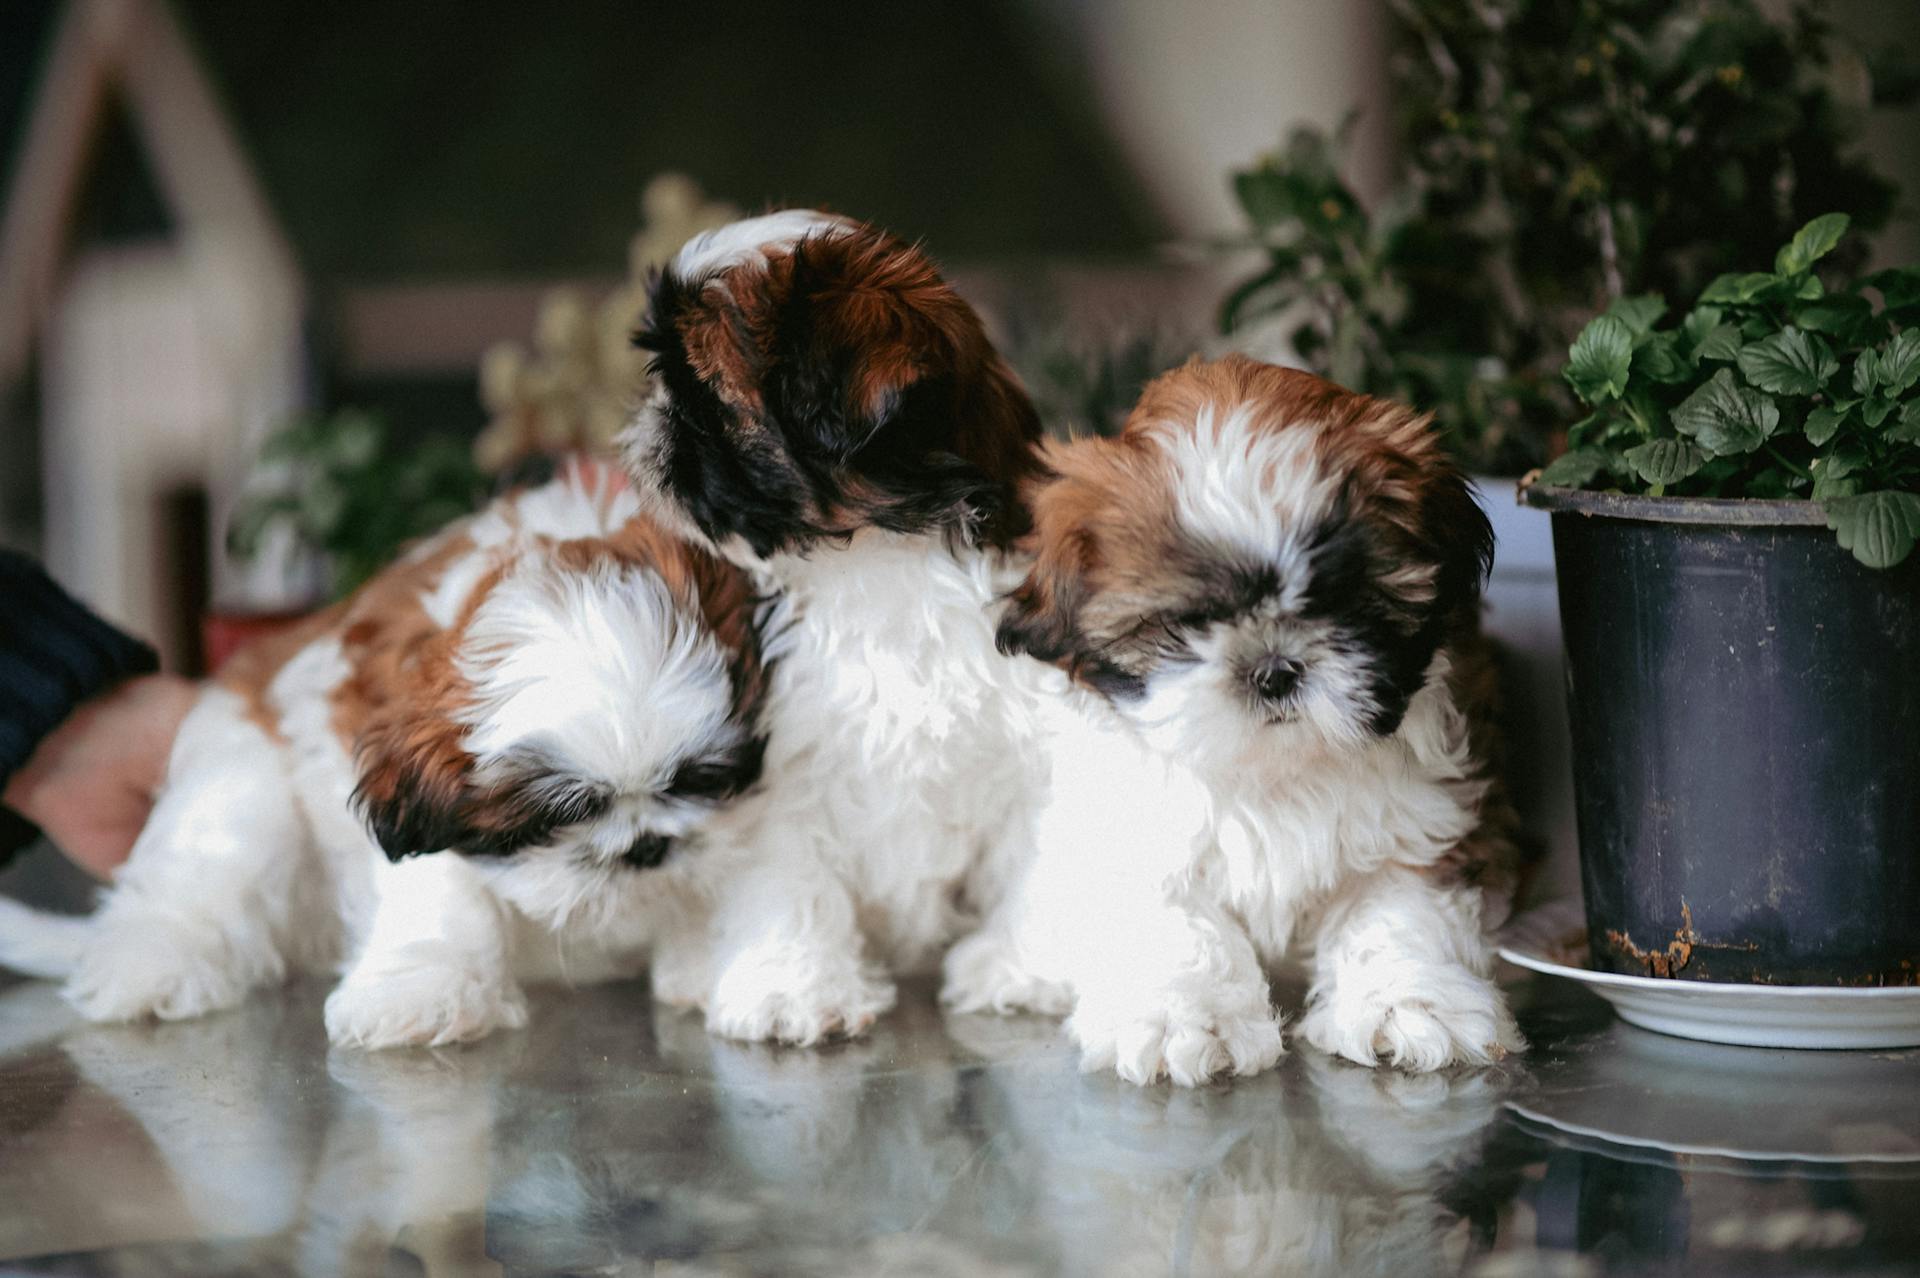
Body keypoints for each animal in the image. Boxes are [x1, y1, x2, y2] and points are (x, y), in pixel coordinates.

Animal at [0, 468, 764, 1043]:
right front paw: (424, 990)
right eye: (557, 819)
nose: (646, 847)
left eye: (702, 780)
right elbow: (439, 878)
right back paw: (153, 963)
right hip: (246, 779)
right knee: (208, 865)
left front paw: (711, 956)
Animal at [618, 211, 1059, 1043]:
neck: (875, 568)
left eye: (705, 401)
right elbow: (790, 874)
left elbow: (1032, 852)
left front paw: (1019, 968)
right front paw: (793, 989)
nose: (651, 422)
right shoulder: (784, 762)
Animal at [944, 355, 1528, 1074]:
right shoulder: (1134, 833)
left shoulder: (1427, 819)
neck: (1271, 772)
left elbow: (1397, 908)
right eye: (1188, 621)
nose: (1274, 669)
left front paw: (1408, 1002)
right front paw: (1183, 1015)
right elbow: (1173, 917)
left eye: (1339, 601)